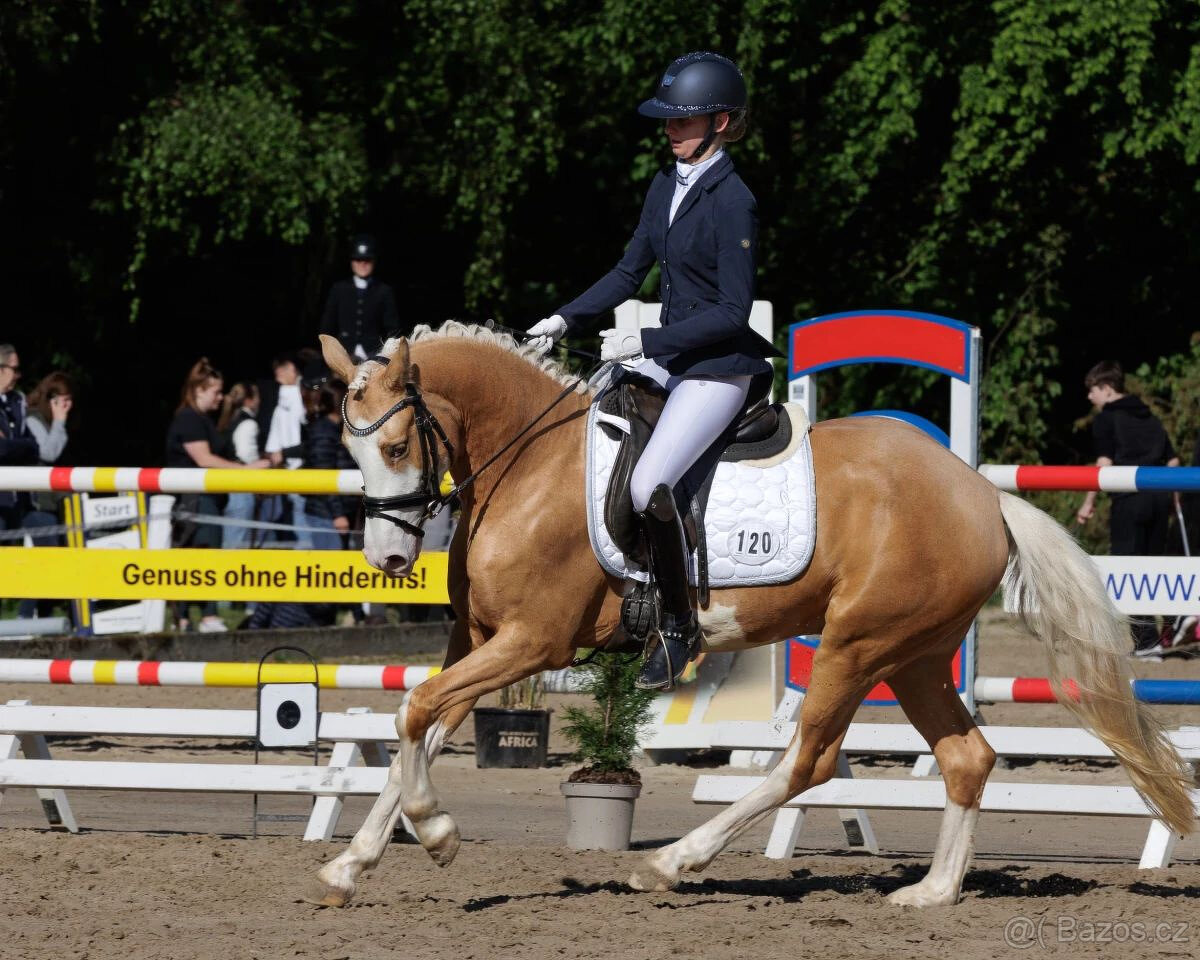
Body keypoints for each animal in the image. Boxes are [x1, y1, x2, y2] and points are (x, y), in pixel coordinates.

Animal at [311, 321, 1193, 908]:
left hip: (855, 645)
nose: (388, 564)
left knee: (807, 760)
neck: (529, 464)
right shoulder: (479, 639)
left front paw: (435, 831)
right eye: (348, 451)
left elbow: (416, 711)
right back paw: (932, 893)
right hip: (912, 656)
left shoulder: (532, 641)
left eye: (395, 448)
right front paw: (354, 864)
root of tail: (981, 493)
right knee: (966, 757)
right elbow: (419, 722)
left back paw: (671, 863)